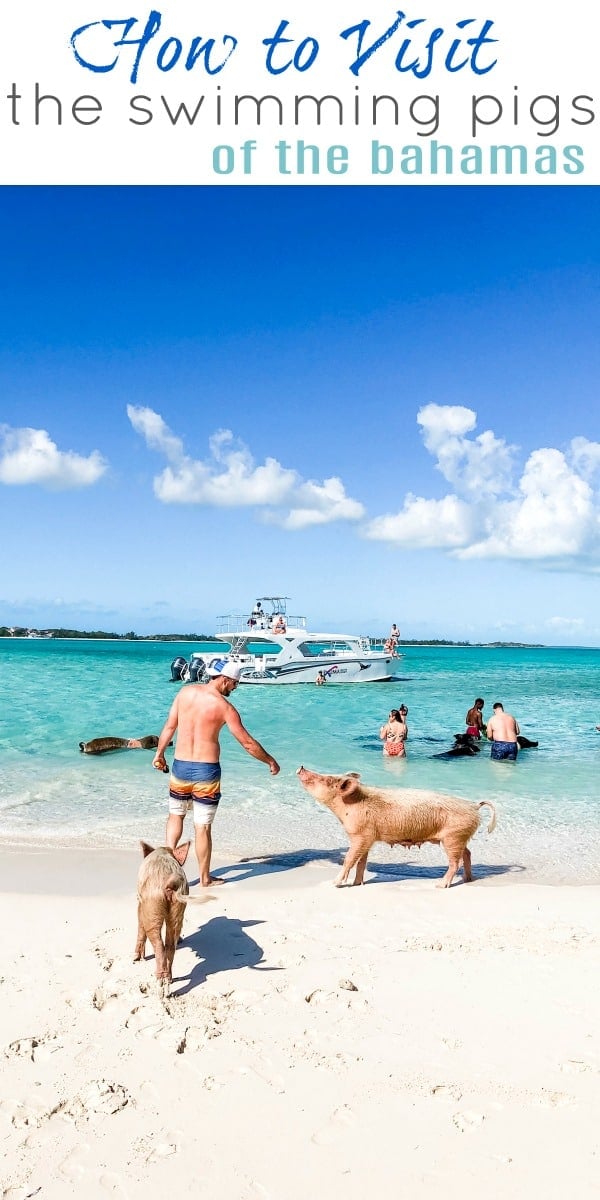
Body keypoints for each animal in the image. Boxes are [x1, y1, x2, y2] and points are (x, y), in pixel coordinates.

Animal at [295, 763, 496, 888]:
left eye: (327, 780)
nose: (301, 767)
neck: (348, 806)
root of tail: (473, 806)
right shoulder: (367, 838)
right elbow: (361, 862)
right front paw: (357, 884)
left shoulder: (361, 835)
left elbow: (349, 859)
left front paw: (334, 884)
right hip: (459, 836)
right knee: (467, 853)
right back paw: (468, 880)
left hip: (453, 836)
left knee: (455, 861)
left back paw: (440, 885)